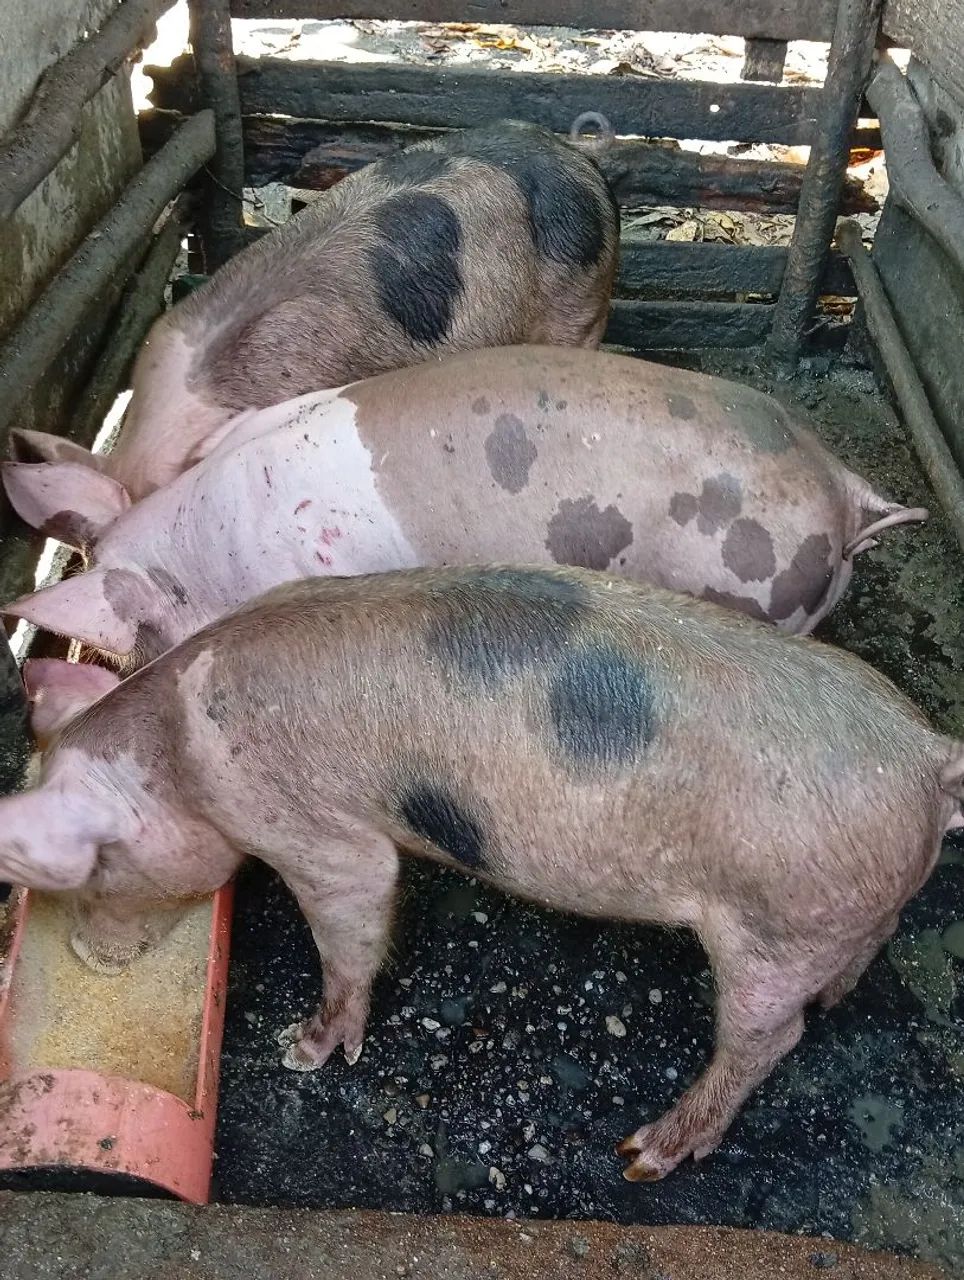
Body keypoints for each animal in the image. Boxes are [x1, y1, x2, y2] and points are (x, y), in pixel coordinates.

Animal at [4, 566, 963, 1181]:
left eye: (88, 877)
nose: (87, 958)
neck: (176, 754)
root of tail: (926, 751)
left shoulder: (314, 830)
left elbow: (355, 916)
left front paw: (302, 1051)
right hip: (840, 907)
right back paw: (834, 998)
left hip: (777, 921)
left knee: (771, 1037)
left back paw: (644, 1155)